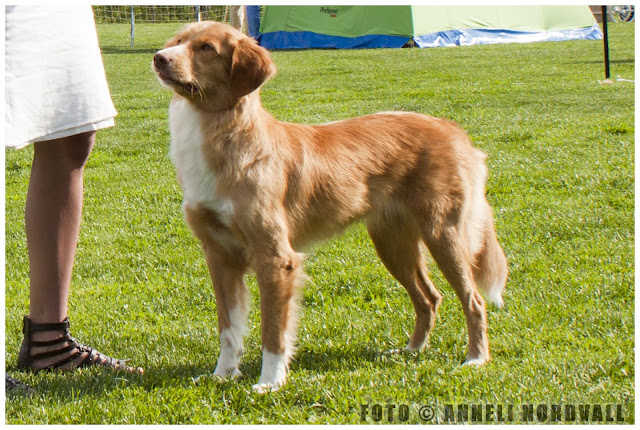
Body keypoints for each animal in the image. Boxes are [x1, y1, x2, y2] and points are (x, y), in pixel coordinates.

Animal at [153, 21, 508, 393]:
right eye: (179, 41)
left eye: (206, 48)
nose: (159, 58)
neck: (218, 133)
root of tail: (452, 129)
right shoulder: (219, 256)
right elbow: (228, 327)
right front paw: (222, 374)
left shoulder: (276, 258)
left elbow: (273, 331)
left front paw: (270, 382)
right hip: (391, 243)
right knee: (429, 297)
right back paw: (412, 350)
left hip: (444, 234)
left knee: (474, 300)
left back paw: (475, 358)